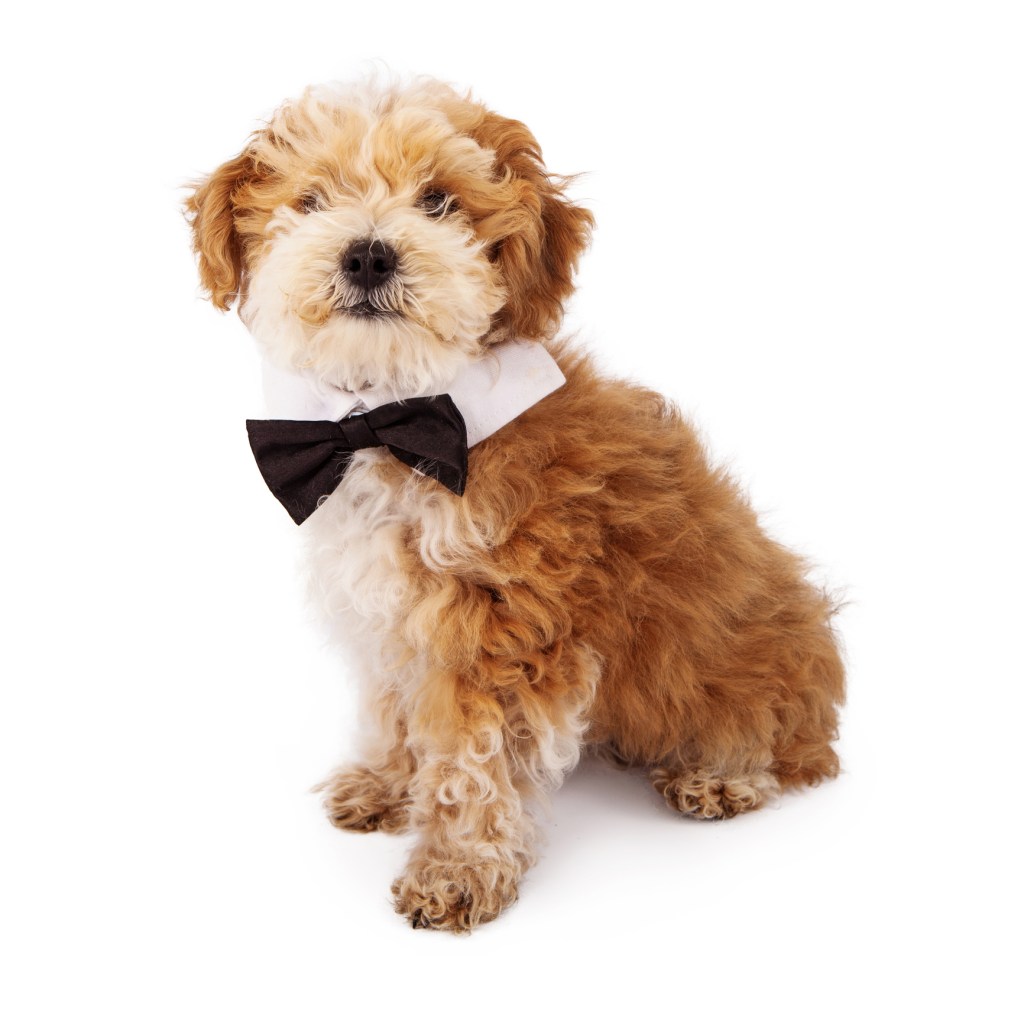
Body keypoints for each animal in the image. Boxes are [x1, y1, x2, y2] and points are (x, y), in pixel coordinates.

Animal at [188, 77, 843, 929]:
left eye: (438, 200)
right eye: (312, 198)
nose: (367, 252)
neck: (398, 418)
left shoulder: (499, 629)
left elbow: (474, 760)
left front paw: (456, 869)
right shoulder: (391, 622)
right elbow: (401, 711)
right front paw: (389, 785)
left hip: (760, 673)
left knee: (780, 743)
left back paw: (722, 775)